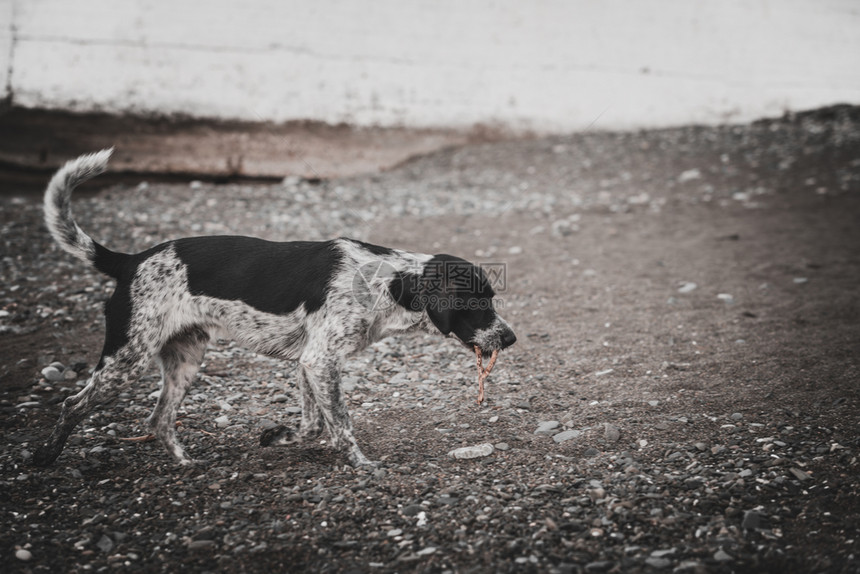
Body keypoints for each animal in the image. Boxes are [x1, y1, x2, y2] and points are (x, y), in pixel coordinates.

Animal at [31, 151, 516, 470]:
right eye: (478, 301)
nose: (510, 338)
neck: (391, 280)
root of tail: (130, 261)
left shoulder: (311, 363)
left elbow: (313, 425)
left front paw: (277, 435)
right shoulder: (320, 361)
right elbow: (340, 425)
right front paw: (362, 465)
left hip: (185, 358)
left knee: (160, 418)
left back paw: (186, 463)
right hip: (127, 358)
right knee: (73, 404)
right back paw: (44, 457)